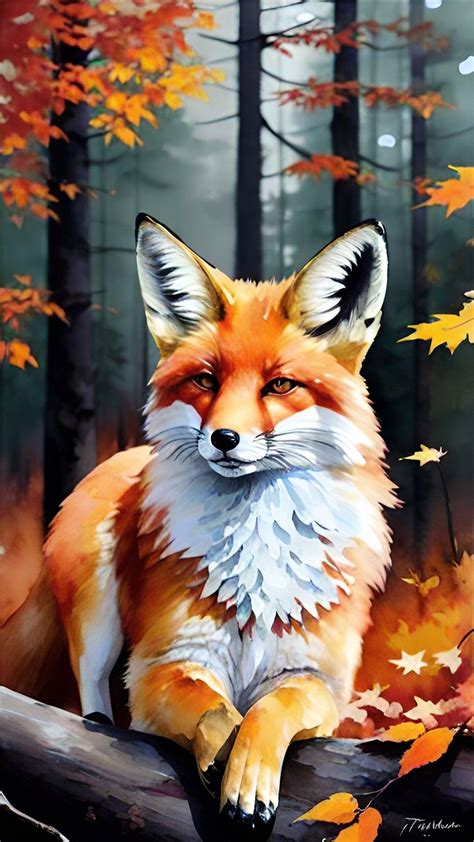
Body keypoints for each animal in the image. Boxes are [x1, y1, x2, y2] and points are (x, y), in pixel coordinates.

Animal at [45, 214, 396, 839]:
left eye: (280, 386)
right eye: (207, 381)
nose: (224, 439)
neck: (256, 558)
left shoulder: (318, 679)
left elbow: (269, 710)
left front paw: (247, 773)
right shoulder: (164, 664)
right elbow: (212, 709)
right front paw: (222, 758)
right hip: (96, 615)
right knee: (92, 695)